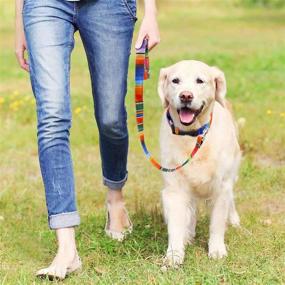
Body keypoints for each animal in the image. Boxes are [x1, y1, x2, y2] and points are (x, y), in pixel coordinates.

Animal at [158, 60, 240, 266]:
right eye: (175, 80)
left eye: (200, 81)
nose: (186, 95)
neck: (193, 136)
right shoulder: (174, 188)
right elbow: (176, 225)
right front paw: (174, 255)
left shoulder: (222, 186)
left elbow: (217, 223)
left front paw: (217, 250)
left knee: (231, 198)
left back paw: (234, 219)